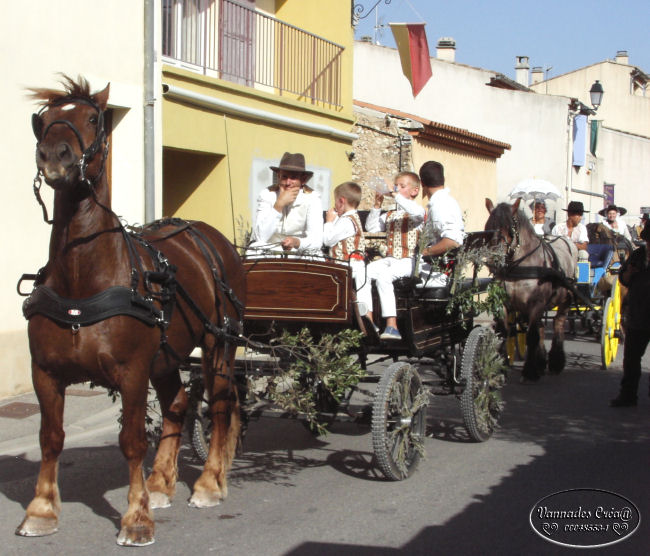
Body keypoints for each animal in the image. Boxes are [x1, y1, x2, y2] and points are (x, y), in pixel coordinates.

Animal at [18, 76, 246, 544]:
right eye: (43, 121)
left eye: (93, 118)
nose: (54, 156)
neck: (83, 277)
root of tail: (211, 238)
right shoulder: (45, 372)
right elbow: (50, 436)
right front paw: (42, 509)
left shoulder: (132, 370)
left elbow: (132, 441)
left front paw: (136, 516)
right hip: (167, 354)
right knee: (179, 403)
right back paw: (160, 483)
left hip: (218, 343)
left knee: (219, 405)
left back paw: (209, 482)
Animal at [484, 199, 576, 382]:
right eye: (488, 227)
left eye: (510, 228)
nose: (494, 261)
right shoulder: (504, 303)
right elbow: (504, 332)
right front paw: (500, 368)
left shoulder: (536, 303)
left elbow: (531, 336)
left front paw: (529, 372)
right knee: (540, 327)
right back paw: (541, 362)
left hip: (564, 301)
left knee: (558, 324)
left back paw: (555, 362)